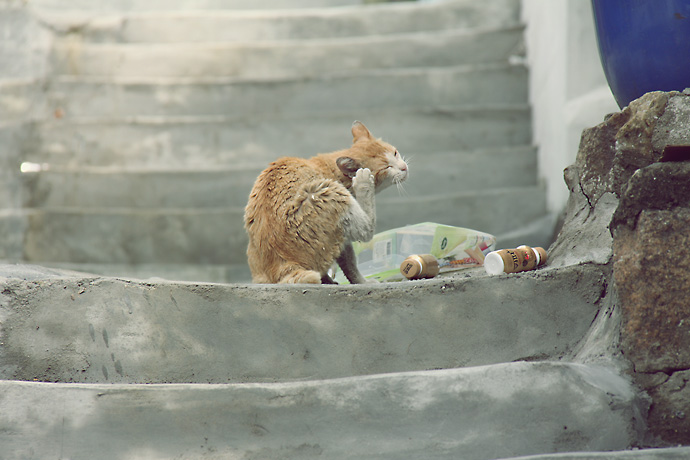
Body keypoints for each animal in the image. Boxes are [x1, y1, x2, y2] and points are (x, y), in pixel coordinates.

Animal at [243, 120, 406, 282]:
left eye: (395, 153)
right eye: (386, 167)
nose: (404, 167)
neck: (331, 169)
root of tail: (281, 265)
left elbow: (347, 264)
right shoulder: (344, 233)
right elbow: (352, 265)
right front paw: (363, 282)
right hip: (327, 191)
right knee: (367, 229)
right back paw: (362, 181)